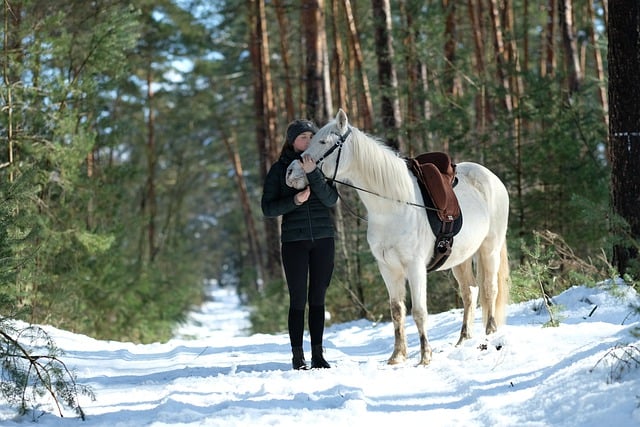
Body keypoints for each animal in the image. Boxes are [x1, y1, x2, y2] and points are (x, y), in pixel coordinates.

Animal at [286, 109, 510, 366]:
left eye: (323, 142)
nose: (290, 172)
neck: (393, 206)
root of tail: (492, 178)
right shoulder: (388, 268)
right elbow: (396, 310)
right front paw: (397, 356)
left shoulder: (415, 267)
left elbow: (419, 312)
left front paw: (425, 357)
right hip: (460, 259)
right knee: (470, 292)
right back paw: (463, 340)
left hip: (490, 249)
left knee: (489, 289)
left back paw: (490, 334)